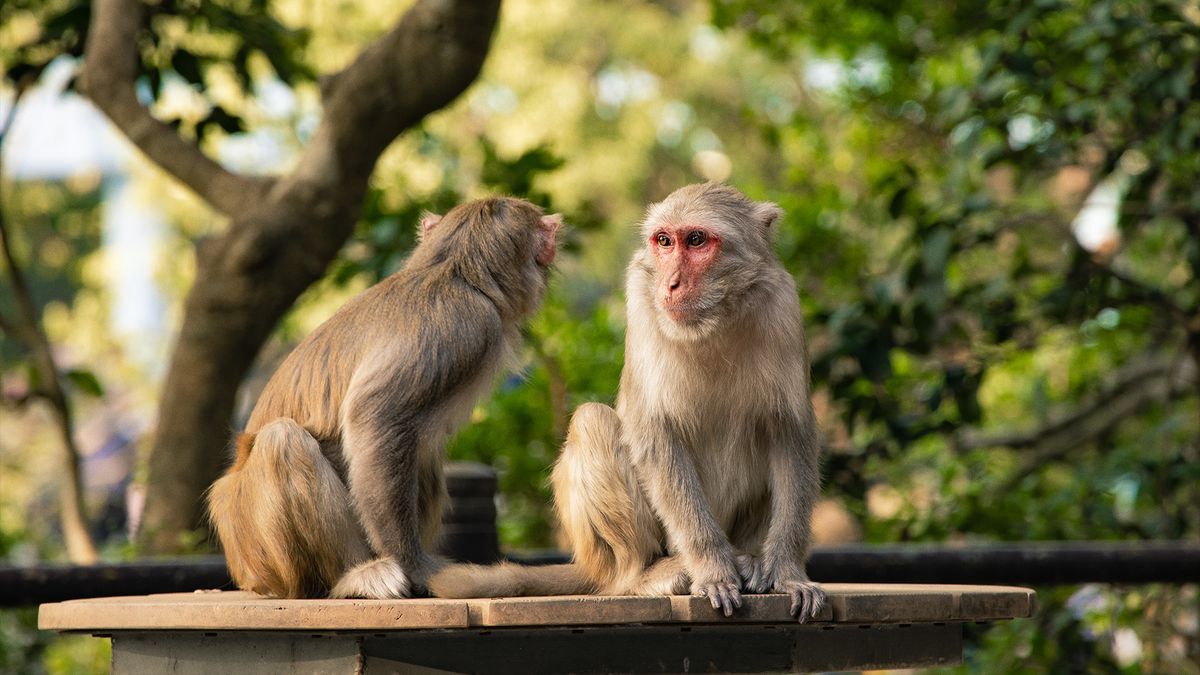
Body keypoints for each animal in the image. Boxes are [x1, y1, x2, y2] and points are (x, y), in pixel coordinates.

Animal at [207, 196, 561, 595]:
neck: (453, 271)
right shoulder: (465, 326)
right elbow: (375, 417)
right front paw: (411, 563)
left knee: (425, 453)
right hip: (257, 547)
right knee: (283, 441)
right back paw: (354, 574)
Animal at [432, 182, 825, 619]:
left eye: (697, 240)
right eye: (664, 241)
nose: (670, 284)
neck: (715, 321)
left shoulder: (783, 305)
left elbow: (790, 433)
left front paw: (788, 572)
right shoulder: (640, 297)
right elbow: (655, 432)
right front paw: (712, 568)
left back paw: (750, 559)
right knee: (593, 421)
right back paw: (645, 574)